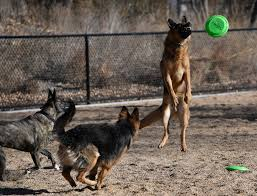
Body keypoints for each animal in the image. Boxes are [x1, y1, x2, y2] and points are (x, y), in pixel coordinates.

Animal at [139, 16, 191, 152]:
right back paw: (162, 143)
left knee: (182, 132)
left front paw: (188, 96)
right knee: (167, 131)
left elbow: (188, 84)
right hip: (165, 115)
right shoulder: (166, 73)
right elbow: (170, 86)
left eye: (188, 24)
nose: (189, 26)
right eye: (180, 26)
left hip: (184, 116)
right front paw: (174, 97)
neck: (178, 46)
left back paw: (183, 146)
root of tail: (174, 111)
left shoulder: (187, 72)